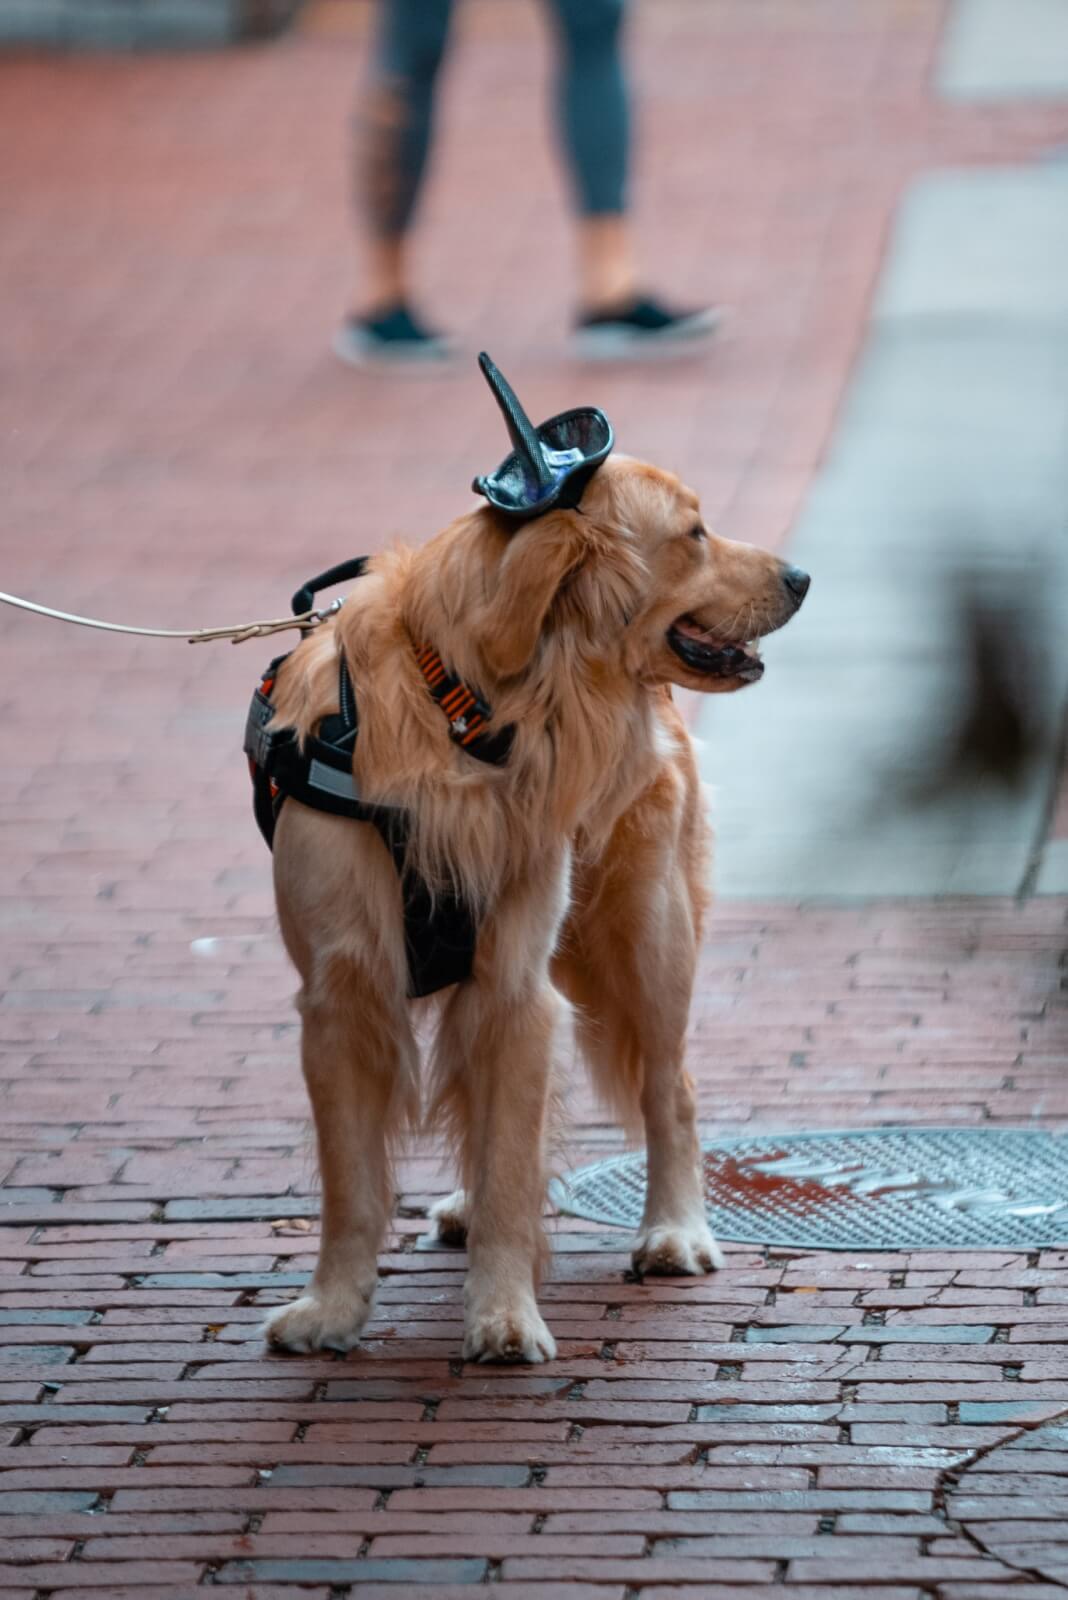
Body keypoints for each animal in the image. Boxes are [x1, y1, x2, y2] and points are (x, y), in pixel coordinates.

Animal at [262, 448, 805, 1363]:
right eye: (694, 533)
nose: (802, 576)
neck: (465, 717)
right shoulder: (341, 995)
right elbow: (353, 1184)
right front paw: (332, 1309)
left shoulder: (517, 985)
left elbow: (514, 1166)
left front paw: (505, 1315)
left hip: (650, 934)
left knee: (673, 1088)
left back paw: (675, 1231)